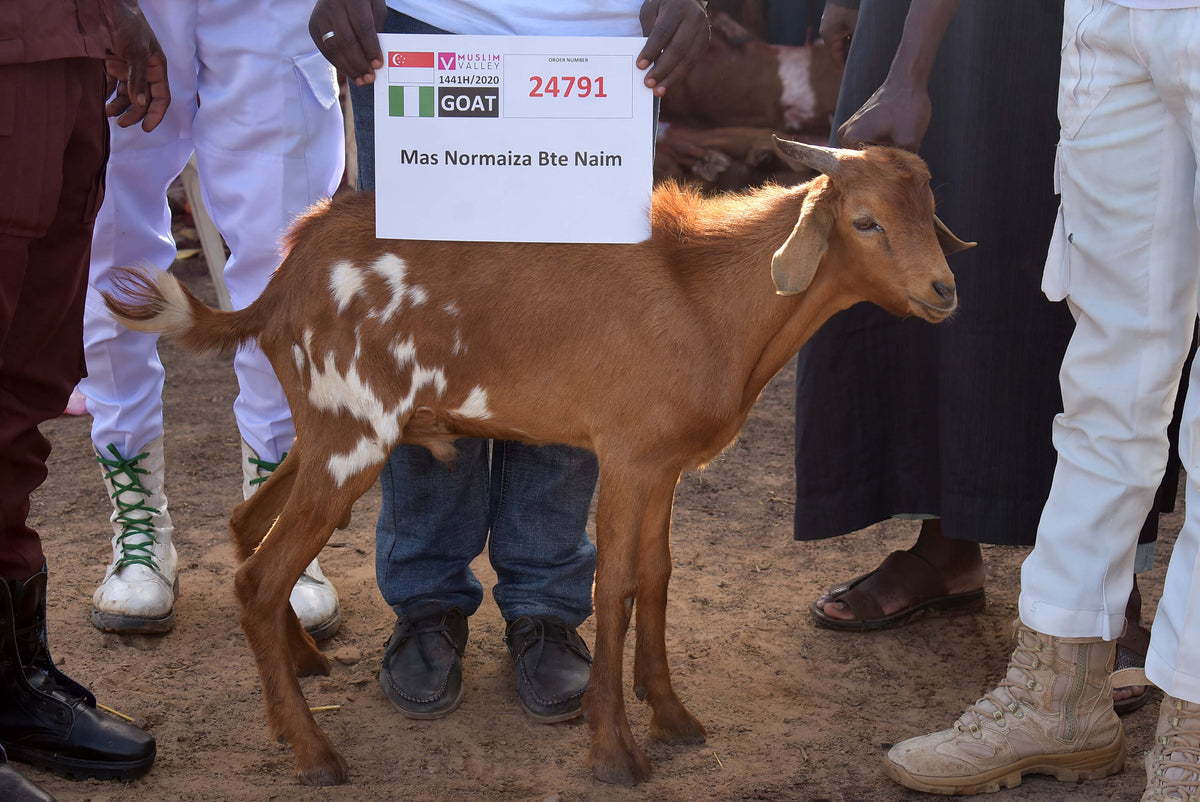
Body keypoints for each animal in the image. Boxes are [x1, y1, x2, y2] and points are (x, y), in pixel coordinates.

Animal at [103, 139, 970, 787]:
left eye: (930, 213)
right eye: (865, 221)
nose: (943, 292)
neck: (703, 295)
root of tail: (281, 285)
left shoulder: (664, 466)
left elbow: (658, 578)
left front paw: (673, 716)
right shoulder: (628, 455)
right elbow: (614, 586)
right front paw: (615, 751)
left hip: (327, 434)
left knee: (247, 521)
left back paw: (303, 673)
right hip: (352, 435)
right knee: (260, 576)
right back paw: (315, 753)